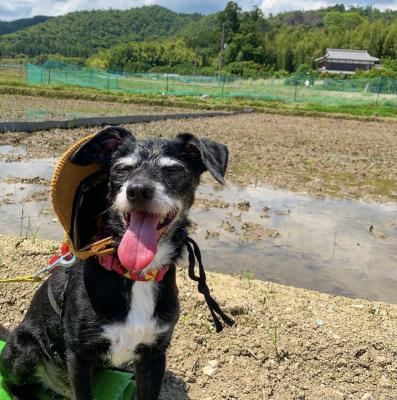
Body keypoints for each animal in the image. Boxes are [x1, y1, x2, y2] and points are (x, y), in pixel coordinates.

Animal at [0, 126, 227, 398]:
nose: (138, 190)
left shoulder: (154, 355)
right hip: (23, 348)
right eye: (122, 169)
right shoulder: (79, 355)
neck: (136, 274)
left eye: (173, 169)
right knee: (13, 383)